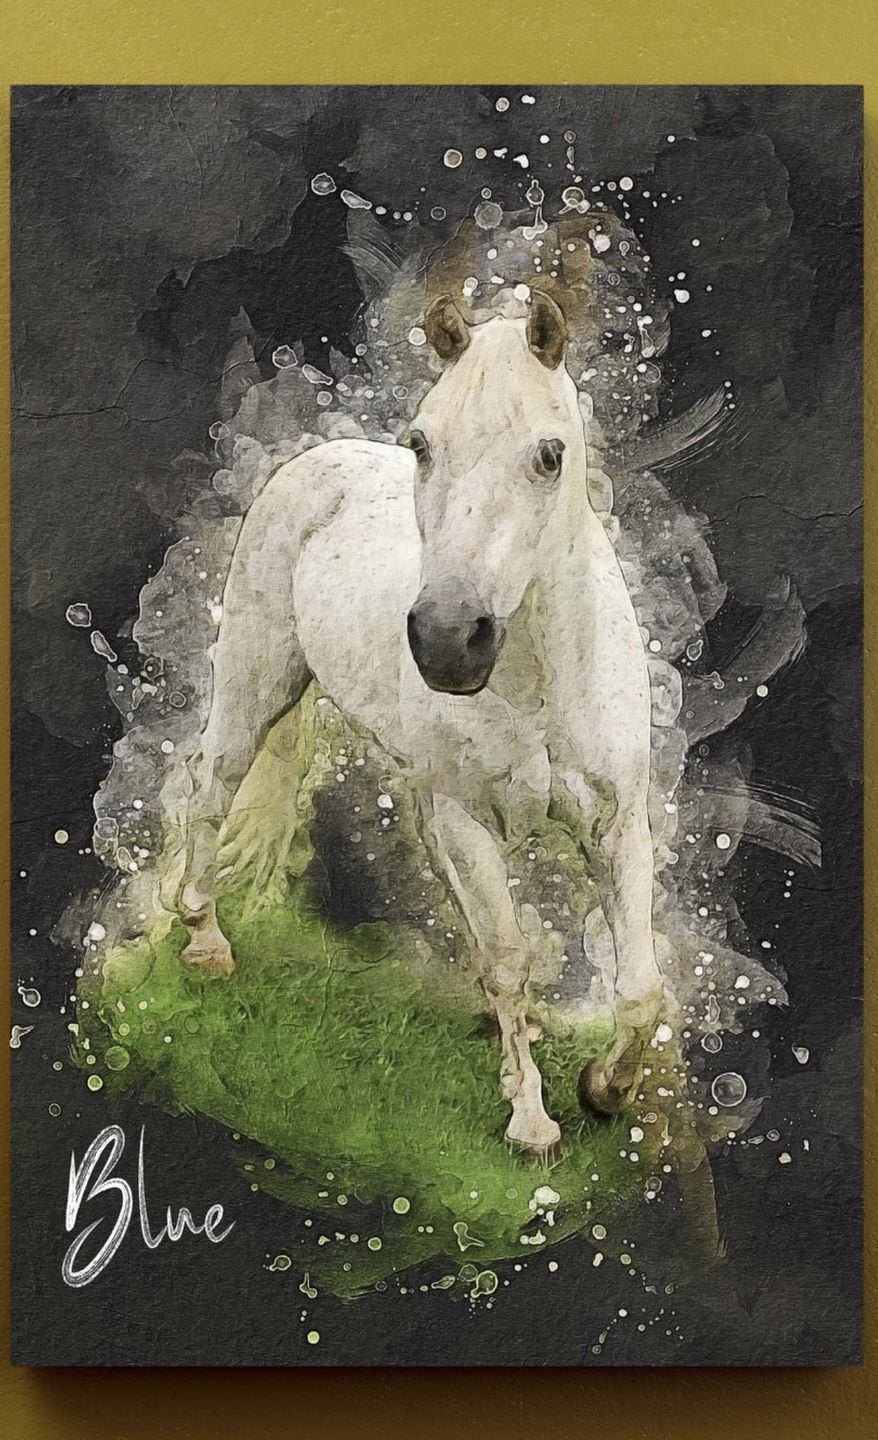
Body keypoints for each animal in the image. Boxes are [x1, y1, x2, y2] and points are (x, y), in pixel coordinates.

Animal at [175, 288, 664, 1155]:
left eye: (550, 455)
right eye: (423, 444)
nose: (446, 637)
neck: (544, 686)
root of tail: (314, 459)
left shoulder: (617, 826)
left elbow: (639, 988)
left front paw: (605, 1088)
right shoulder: (470, 819)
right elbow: (508, 958)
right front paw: (531, 1121)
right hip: (255, 685)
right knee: (212, 788)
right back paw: (204, 940)